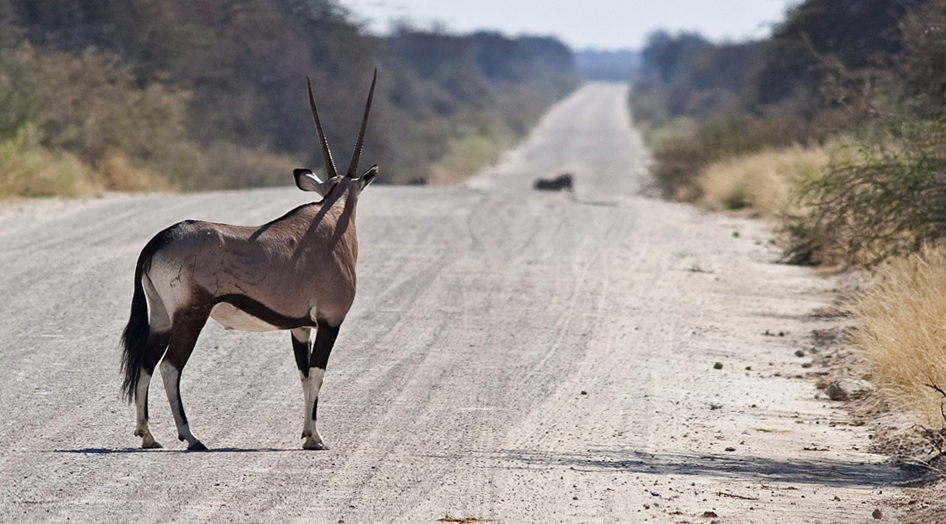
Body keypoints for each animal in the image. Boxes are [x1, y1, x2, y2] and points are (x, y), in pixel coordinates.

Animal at [120, 71, 378, 452]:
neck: (332, 219)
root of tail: (158, 241)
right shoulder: (330, 320)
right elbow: (317, 375)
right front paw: (315, 438)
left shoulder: (300, 326)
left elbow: (304, 376)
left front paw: (306, 433)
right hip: (190, 316)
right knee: (170, 368)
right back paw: (190, 436)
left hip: (162, 317)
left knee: (146, 365)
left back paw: (148, 435)